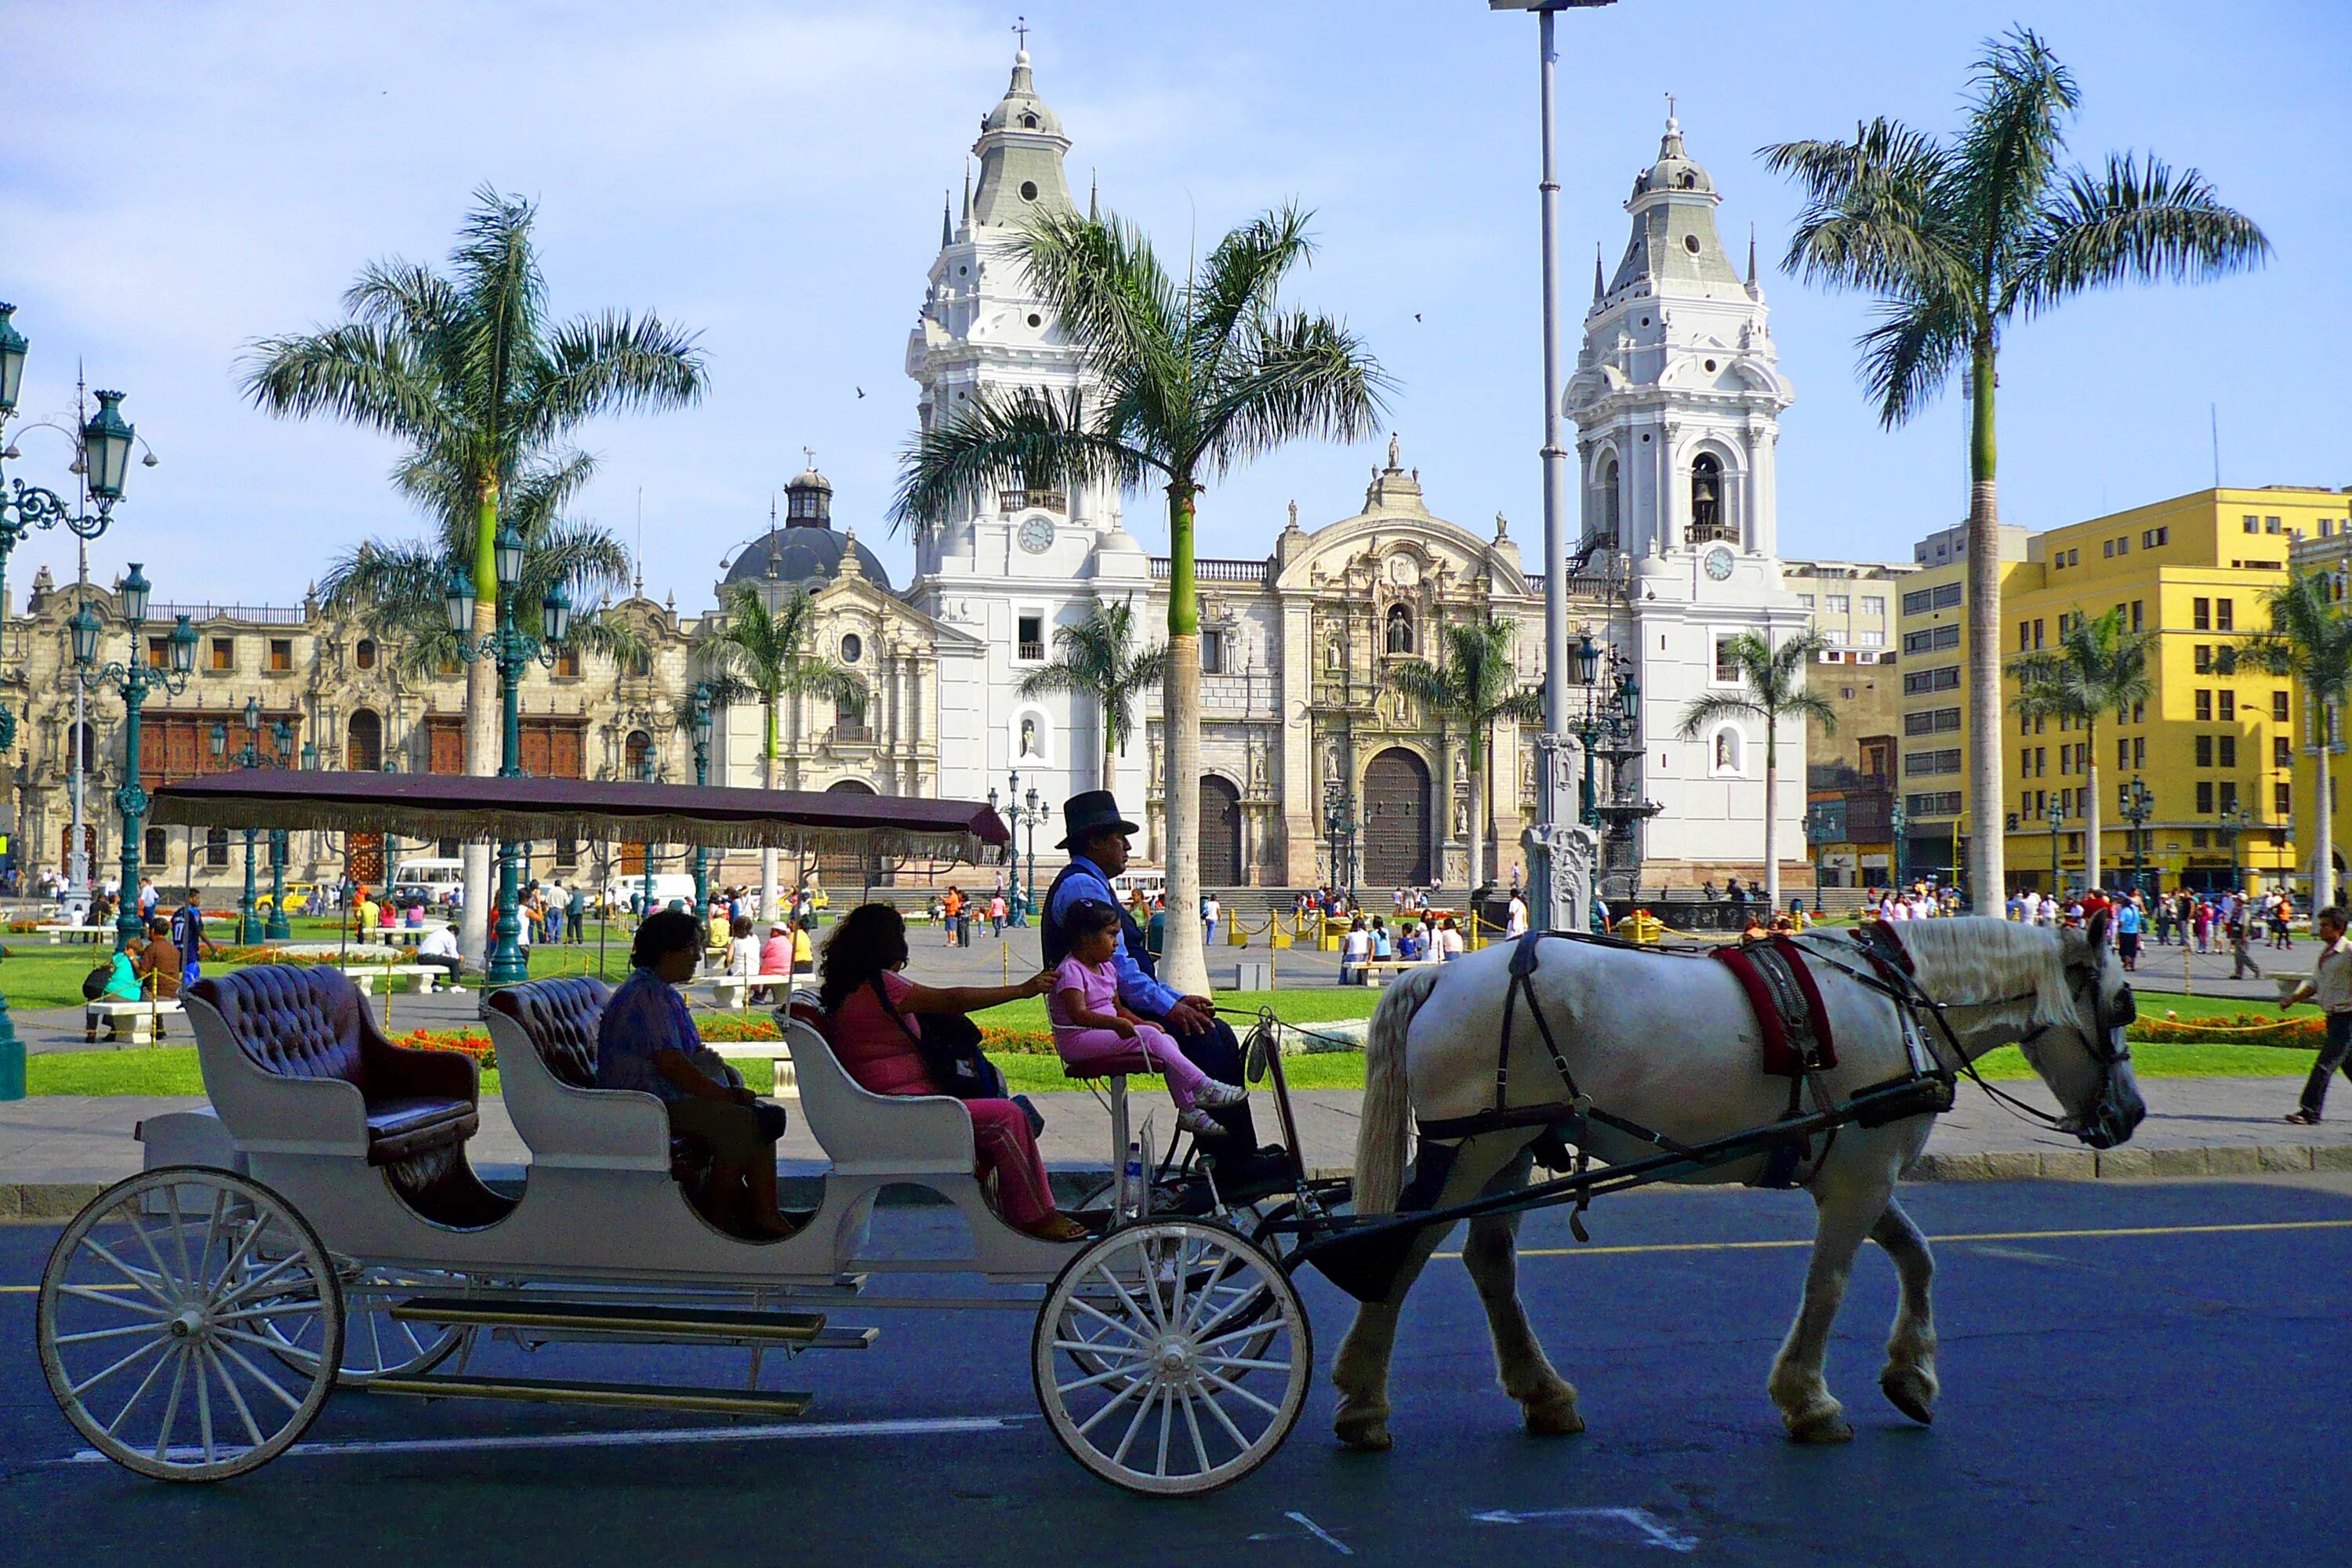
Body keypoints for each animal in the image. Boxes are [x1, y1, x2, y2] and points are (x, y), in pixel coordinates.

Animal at [1336, 912, 2145, 1457]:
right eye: (2119, 1006)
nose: (2132, 1113)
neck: (1902, 1003)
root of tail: (1438, 972)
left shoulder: (1859, 1165)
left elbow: (1917, 1256)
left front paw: (1911, 1374)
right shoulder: (1859, 1178)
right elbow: (1830, 1284)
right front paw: (1810, 1401)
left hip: (1509, 1149)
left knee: (1489, 1263)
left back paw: (1545, 1394)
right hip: (1472, 1147)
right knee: (1400, 1254)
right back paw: (1365, 1404)